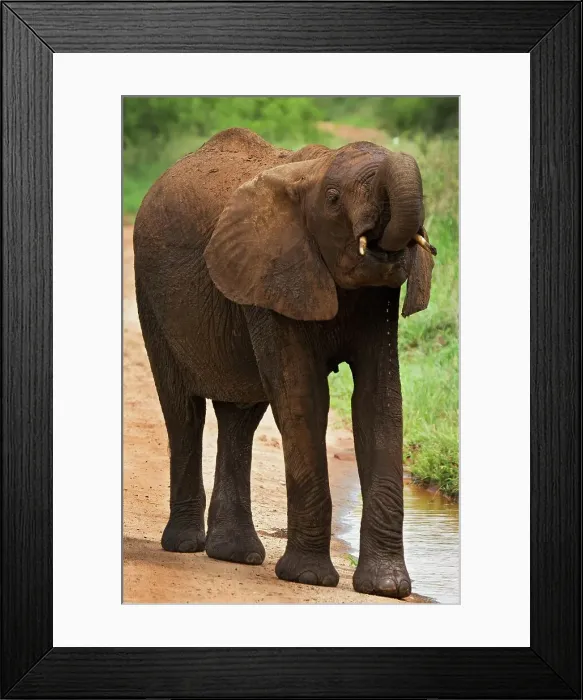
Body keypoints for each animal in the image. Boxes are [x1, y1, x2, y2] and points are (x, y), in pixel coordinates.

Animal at [133, 127, 435, 598]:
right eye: (333, 198)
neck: (312, 172)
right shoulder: (271, 276)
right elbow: (302, 400)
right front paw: (309, 578)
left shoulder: (376, 299)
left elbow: (380, 402)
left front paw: (387, 588)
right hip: (152, 298)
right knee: (184, 413)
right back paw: (184, 545)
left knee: (240, 418)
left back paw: (234, 554)